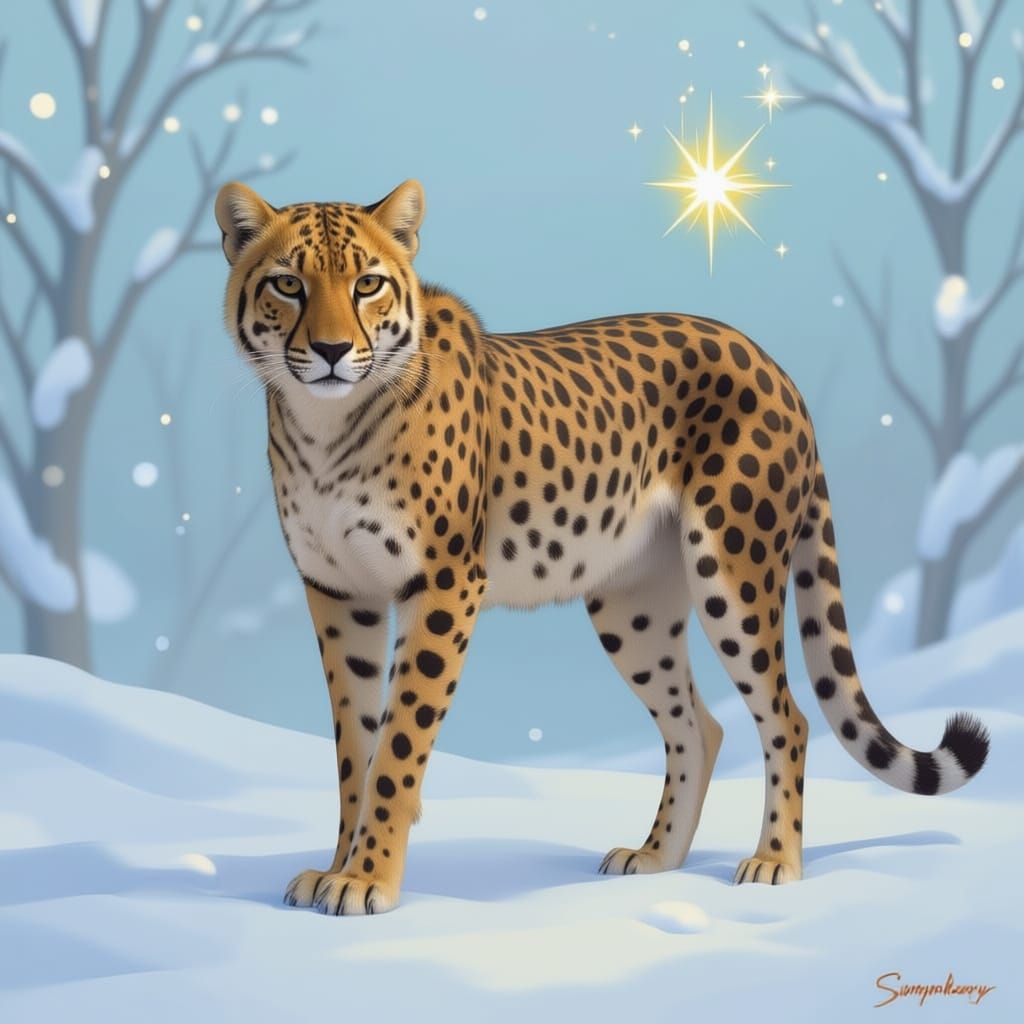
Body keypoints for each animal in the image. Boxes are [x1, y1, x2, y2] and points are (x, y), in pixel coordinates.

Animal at [214, 178, 990, 915]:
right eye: (289, 284)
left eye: (368, 284)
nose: (332, 351)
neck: (327, 425)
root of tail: (765, 357)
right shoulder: (340, 593)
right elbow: (355, 745)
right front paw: (337, 867)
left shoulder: (442, 585)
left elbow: (399, 743)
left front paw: (368, 878)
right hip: (632, 606)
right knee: (698, 726)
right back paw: (657, 856)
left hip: (732, 570)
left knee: (788, 718)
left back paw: (776, 861)